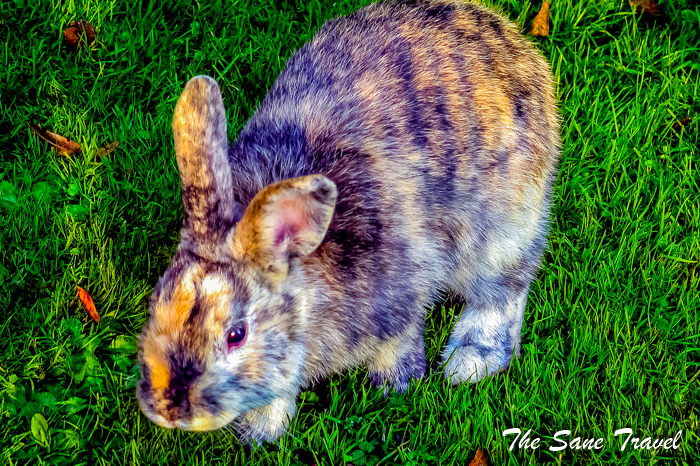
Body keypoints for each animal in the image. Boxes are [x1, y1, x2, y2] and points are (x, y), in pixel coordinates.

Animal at [136, 0, 560, 444]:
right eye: (156, 304)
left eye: (237, 335)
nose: (168, 410)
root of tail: (517, 47)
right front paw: (262, 431)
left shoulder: (403, 293)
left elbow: (402, 339)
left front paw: (395, 384)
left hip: (501, 229)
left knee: (505, 288)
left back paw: (471, 360)